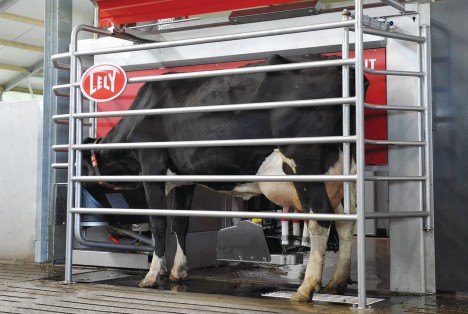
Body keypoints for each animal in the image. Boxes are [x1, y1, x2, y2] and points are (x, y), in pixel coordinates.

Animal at [81, 53, 366, 302]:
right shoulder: (184, 179)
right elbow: (181, 224)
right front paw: (178, 271)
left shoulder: (152, 166)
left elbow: (159, 224)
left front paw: (151, 276)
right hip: (340, 173)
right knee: (345, 221)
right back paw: (337, 282)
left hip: (304, 163)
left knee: (320, 219)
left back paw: (306, 289)